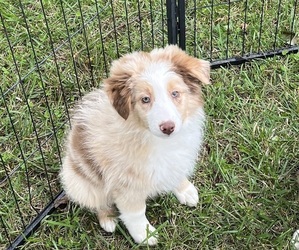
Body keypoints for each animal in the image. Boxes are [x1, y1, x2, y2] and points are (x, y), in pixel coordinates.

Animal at [59, 45, 211, 244]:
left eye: (175, 93)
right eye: (145, 99)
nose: (168, 127)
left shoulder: (176, 159)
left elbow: (175, 173)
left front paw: (185, 190)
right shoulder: (126, 184)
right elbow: (136, 213)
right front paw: (145, 235)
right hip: (80, 182)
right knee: (97, 201)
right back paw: (108, 219)